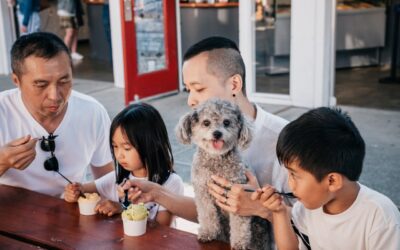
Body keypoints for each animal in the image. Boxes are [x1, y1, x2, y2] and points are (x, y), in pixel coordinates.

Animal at [177, 98, 274, 250]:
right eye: (206, 122)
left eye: (227, 122)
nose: (217, 133)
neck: (216, 159)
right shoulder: (202, 191)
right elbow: (207, 213)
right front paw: (207, 233)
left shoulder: (236, 193)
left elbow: (239, 223)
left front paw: (239, 243)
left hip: (258, 232)